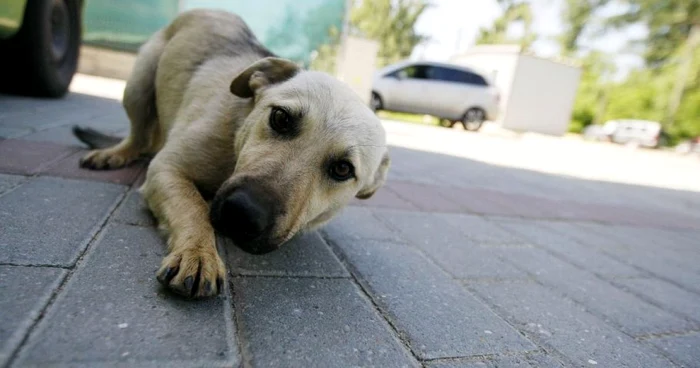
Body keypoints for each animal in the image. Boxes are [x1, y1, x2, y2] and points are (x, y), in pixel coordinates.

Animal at [74, 10, 392, 300]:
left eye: (342, 169)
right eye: (280, 118)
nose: (243, 214)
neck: (235, 146)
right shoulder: (166, 167)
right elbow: (193, 206)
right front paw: (198, 252)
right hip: (139, 83)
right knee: (137, 137)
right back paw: (114, 153)